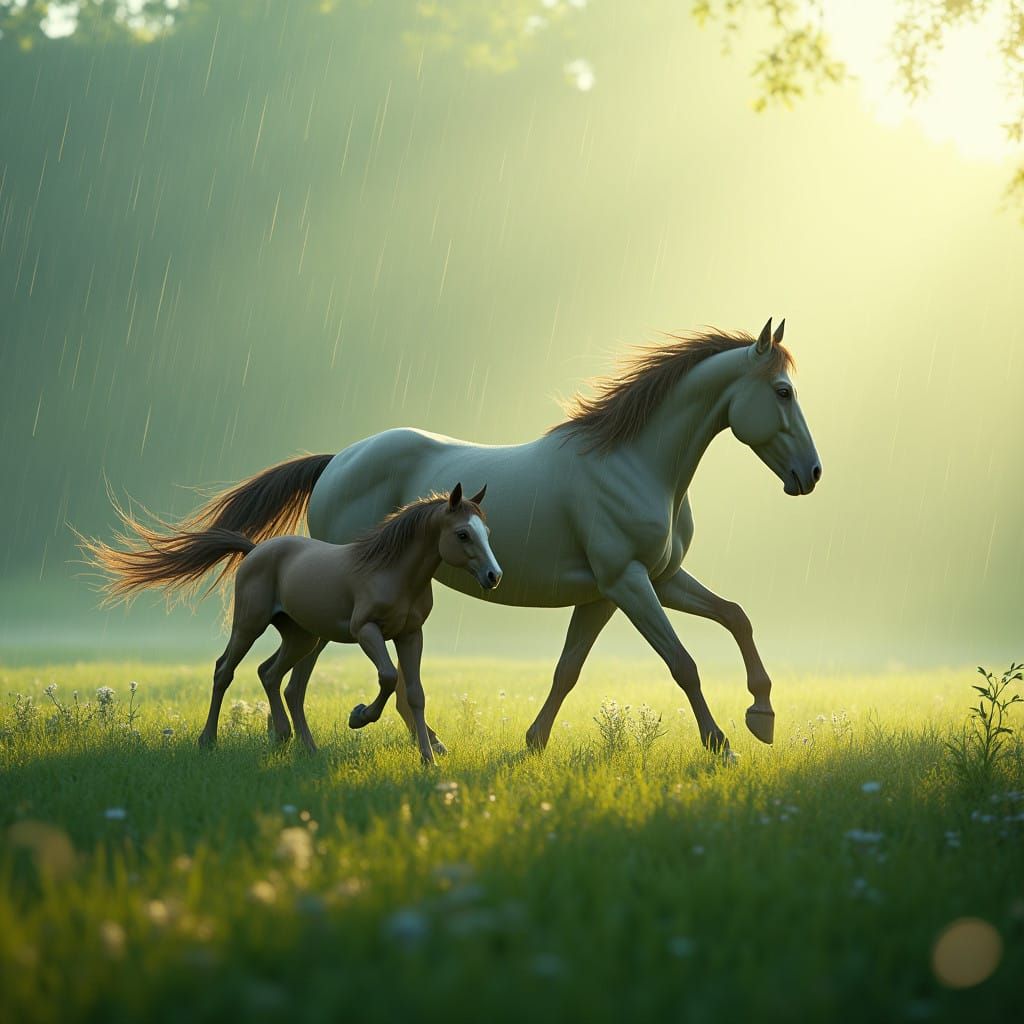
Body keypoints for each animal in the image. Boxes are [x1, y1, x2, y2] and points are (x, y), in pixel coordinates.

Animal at [83, 485, 500, 763]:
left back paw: (296, 742)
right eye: (462, 534)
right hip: (249, 625)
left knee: (277, 678)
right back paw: (209, 740)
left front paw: (429, 760)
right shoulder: (367, 631)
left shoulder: (411, 635)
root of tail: (254, 550)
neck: (391, 570)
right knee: (225, 670)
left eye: (487, 533)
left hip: (303, 638)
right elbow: (387, 677)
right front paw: (358, 717)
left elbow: (415, 693)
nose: (493, 576)